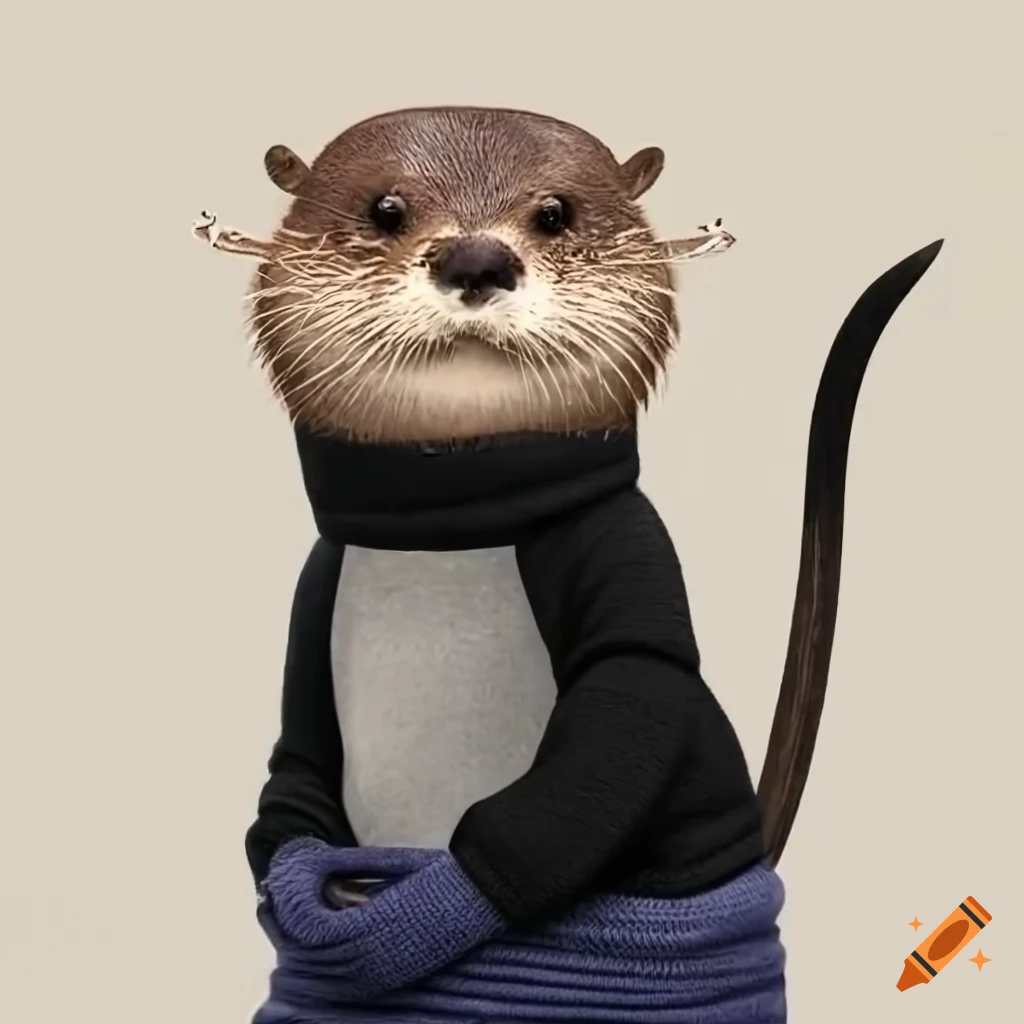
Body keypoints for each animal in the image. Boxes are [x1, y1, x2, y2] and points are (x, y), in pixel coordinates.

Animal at [193, 106, 941, 1022]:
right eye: (385, 209)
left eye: (555, 213)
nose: (477, 261)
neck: (445, 533)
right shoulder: (317, 582)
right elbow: (297, 735)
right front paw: (306, 890)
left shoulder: (622, 547)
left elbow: (629, 695)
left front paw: (410, 917)